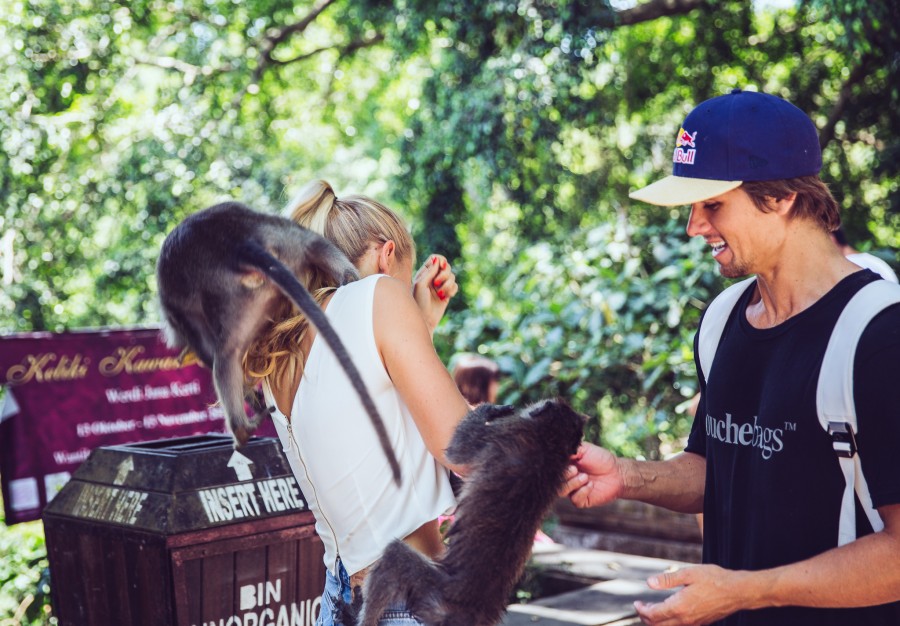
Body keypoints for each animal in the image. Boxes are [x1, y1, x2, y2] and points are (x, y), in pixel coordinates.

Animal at [157, 201, 400, 482]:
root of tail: (240, 243)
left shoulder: (181, 314)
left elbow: (205, 352)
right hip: (285, 237)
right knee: (315, 245)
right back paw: (349, 277)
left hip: (225, 293)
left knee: (224, 356)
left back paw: (242, 429)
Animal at [342, 398, 588, 620]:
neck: (550, 443)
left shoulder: (504, 431)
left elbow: (456, 451)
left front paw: (485, 410)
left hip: (432, 591)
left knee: (394, 557)